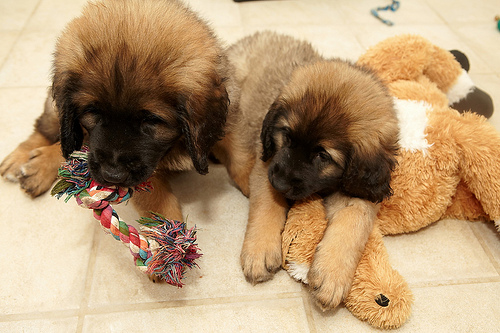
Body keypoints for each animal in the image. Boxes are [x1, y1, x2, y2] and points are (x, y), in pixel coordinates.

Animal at [0, 0, 252, 252]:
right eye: (92, 111)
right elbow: (160, 202)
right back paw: (27, 164)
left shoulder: (228, 123)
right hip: (59, 115)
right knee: (51, 132)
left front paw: (257, 192)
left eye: (152, 120)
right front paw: (168, 245)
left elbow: (241, 158)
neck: (177, 142)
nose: (112, 175)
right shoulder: (145, 174)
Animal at [232, 31, 400, 308]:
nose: (279, 183)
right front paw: (259, 250)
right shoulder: (267, 164)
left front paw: (332, 275)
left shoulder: (361, 192)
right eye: (287, 135)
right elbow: (266, 207)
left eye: (322, 155)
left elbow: (353, 225)